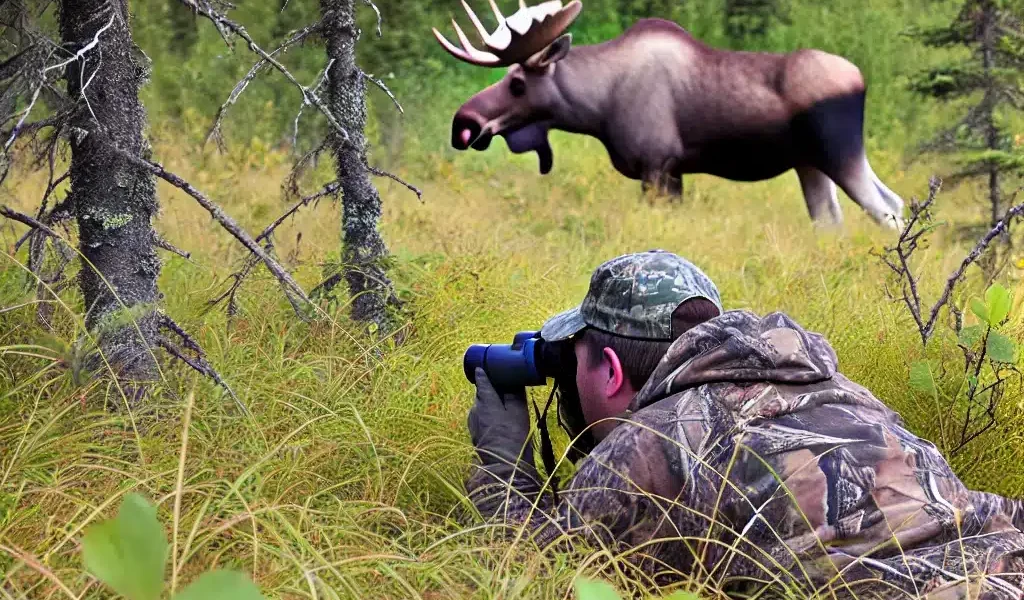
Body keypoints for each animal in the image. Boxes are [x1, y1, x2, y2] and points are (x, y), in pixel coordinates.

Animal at [430, 0, 905, 229]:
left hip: (838, 152)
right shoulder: (672, 171)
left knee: (888, 211)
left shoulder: (657, 166)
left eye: (517, 83)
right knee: (845, 218)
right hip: (811, 164)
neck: (596, 107)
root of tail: (860, 78)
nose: (463, 123)